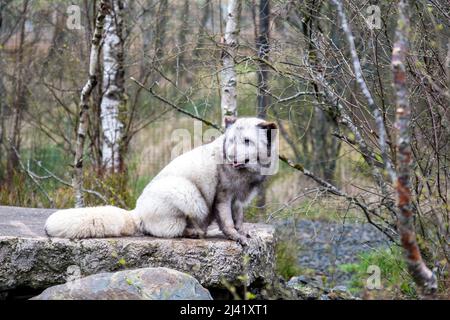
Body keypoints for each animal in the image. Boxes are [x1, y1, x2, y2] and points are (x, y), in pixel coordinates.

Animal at [45, 117, 278, 245]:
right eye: (230, 141)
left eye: (247, 141)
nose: (230, 156)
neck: (246, 173)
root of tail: (138, 213)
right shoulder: (222, 197)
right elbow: (228, 222)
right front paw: (234, 237)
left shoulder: (237, 200)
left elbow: (239, 219)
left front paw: (243, 232)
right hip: (190, 195)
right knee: (170, 230)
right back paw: (194, 232)